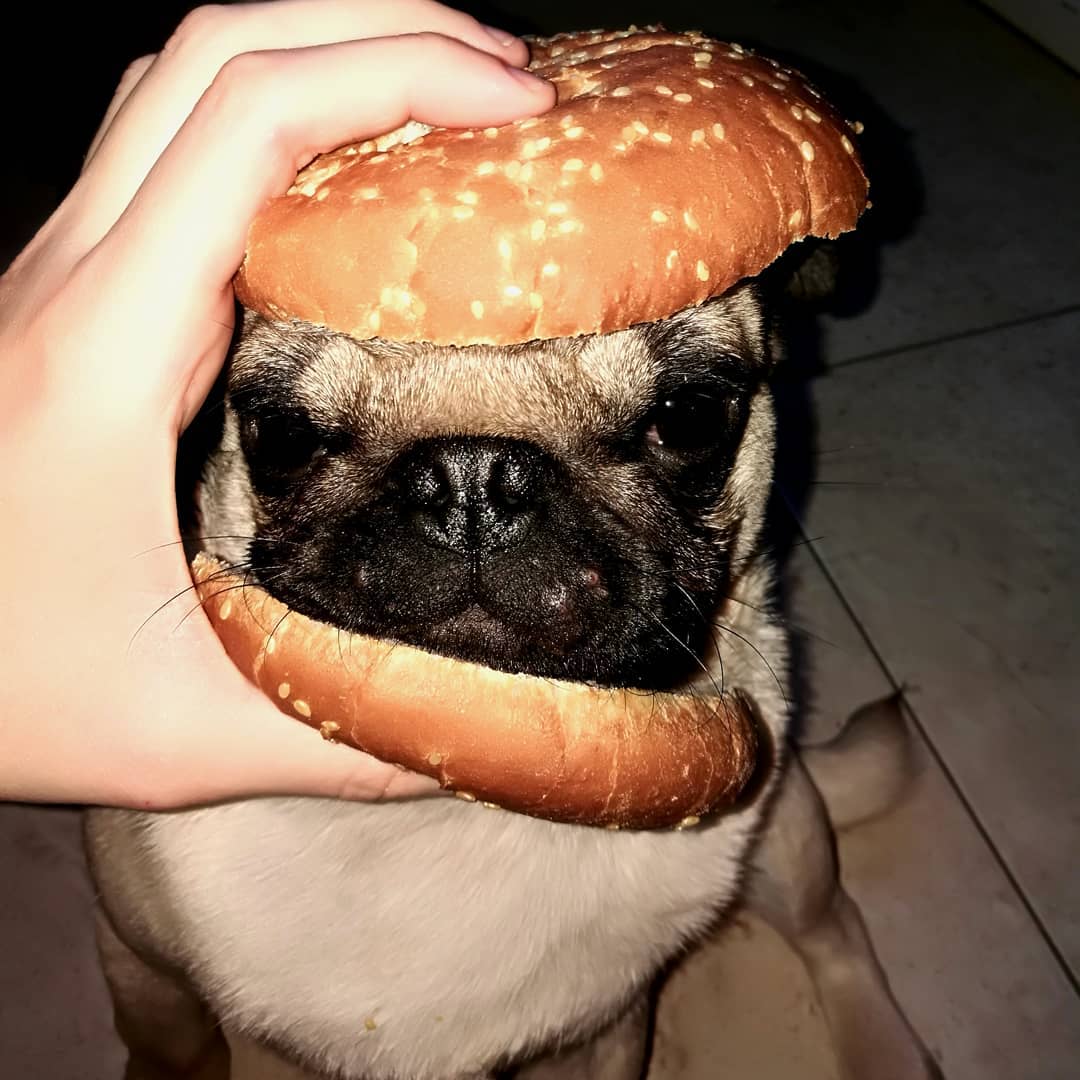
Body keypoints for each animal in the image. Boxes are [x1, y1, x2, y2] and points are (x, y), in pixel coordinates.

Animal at [82, 280, 937, 1080]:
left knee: (834, 931)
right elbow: (169, 1044)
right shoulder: (138, 964)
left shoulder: (608, 1031)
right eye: (285, 434)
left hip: (783, 829)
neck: (454, 812)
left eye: (689, 417)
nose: (473, 480)